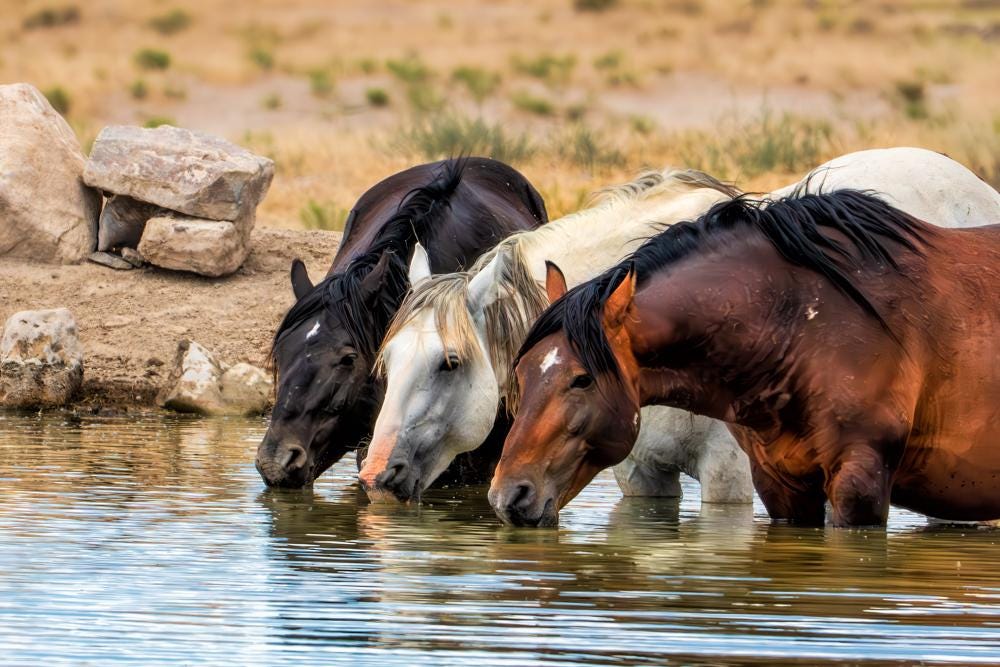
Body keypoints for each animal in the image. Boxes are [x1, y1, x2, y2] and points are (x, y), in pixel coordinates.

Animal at [491, 188, 1000, 528]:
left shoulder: (861, 482)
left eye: (581, 379)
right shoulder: (781, 483)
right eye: (522, 371)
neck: (804, 323)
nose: (508, 496)